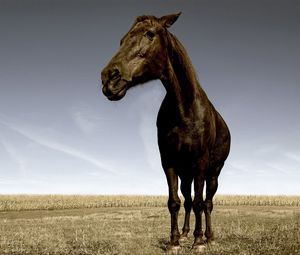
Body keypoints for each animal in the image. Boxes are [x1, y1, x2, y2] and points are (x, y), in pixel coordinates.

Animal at [102, 12, 231, 252]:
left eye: (150, 34)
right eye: (122, 40)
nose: (108, 78)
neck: (185, 109)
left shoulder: (201, 162)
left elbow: (200, 202)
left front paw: (198, 242)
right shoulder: (169, 161)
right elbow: (174, 202)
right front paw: (174, 241)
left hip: (213, 172)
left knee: (207, 202)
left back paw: (208, 236)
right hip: (186, 173)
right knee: (188, 200)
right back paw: (187, 232)